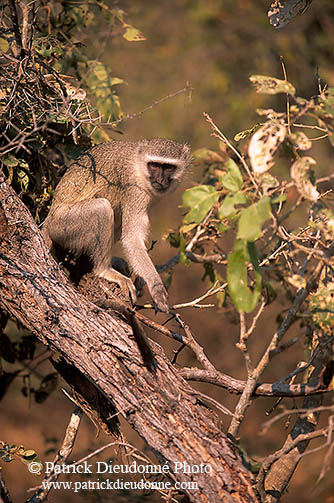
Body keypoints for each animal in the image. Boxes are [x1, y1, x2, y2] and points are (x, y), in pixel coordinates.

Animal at [43, 138, 192, 312]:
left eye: (168, 167)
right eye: (154, 165)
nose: (160, 180)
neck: (139, 165)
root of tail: (47, 222)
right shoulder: (135, 190)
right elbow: (132, 240)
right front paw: (156, 287)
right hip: (61, 226)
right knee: (102, 209)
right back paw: (104, 270)